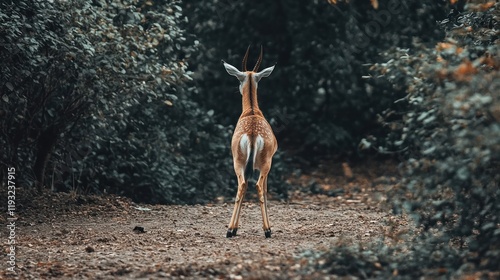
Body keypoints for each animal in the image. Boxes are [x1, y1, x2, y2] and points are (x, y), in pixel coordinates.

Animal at [223, 46, 278, 238]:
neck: (252, 111)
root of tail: (253, 135)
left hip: (239, 162)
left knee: (244, 186)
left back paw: (232, 230)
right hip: (263, 163)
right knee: (256, 187)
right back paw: (266, 230)